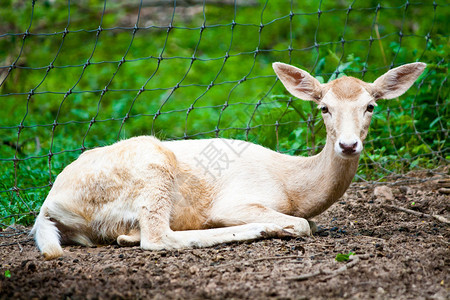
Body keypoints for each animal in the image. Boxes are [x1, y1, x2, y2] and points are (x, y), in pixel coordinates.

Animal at [31, 61, 426, 260]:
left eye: (370, 106)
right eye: (324, 107)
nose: (347, 144)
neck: (292, 186)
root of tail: (49, 206)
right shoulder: (239, 199)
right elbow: (303, 225)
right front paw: (274, 226)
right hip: (151, 166)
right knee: (156, 237)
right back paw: (255, 230)